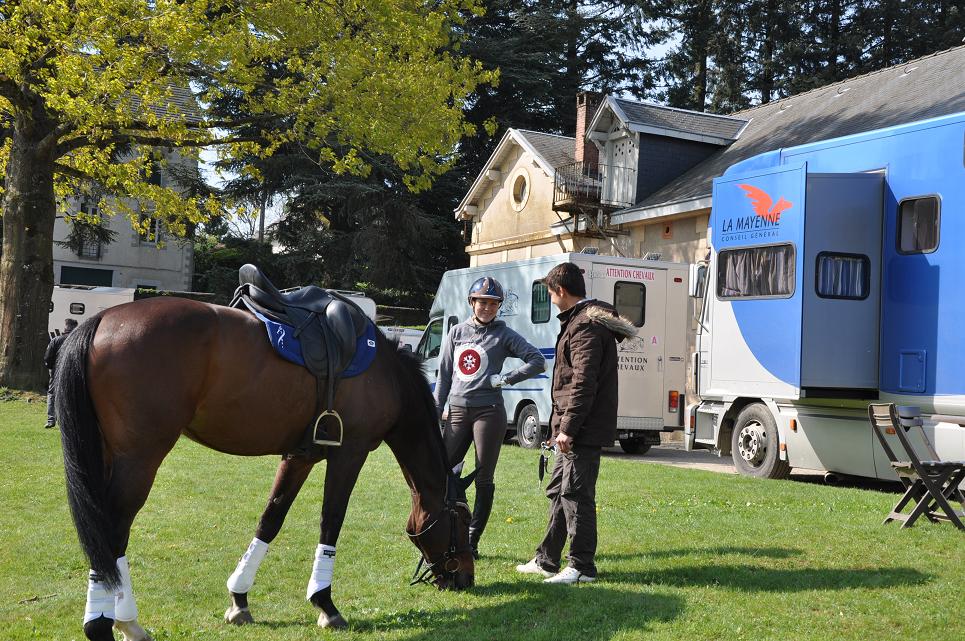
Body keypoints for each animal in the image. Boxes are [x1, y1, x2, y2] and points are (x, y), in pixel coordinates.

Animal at [54, 298, 472, 640]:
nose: (466, 577)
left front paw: (239, 597)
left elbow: (271, 519)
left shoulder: (300, 456)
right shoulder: (349, 454)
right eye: (462, 520)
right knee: (111, 531)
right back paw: (110, 623)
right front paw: (325, 603)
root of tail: (103, 319)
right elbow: (331, 522)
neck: (386, 373)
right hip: (139, 459)